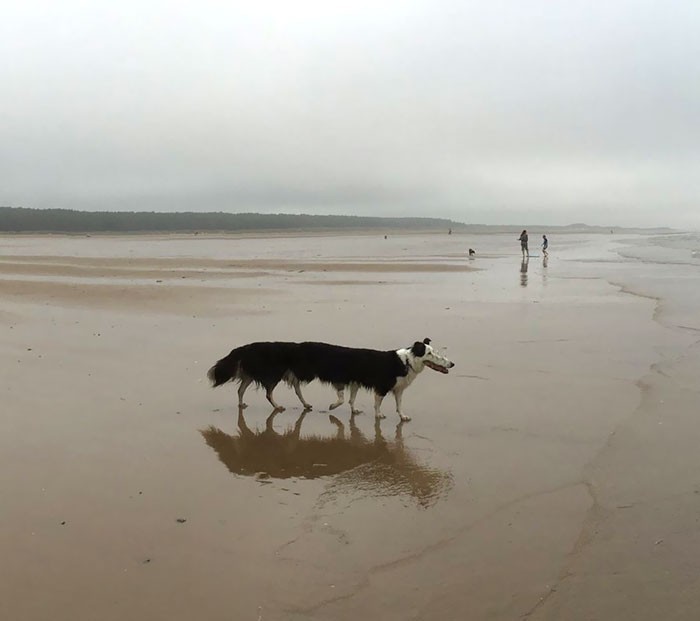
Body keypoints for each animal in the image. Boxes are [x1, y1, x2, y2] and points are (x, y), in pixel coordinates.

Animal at [208, 340, 456, 422]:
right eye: (430, 353)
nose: (452, 364)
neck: (405, 361)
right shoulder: (377, 386)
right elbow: (366, 402)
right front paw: (377, 415)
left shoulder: (386, 387)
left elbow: (395, 404)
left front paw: (402, 417)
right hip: (274, 374)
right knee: (268, 392)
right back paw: (278, 406)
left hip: (278, 374)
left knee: (243, 387)